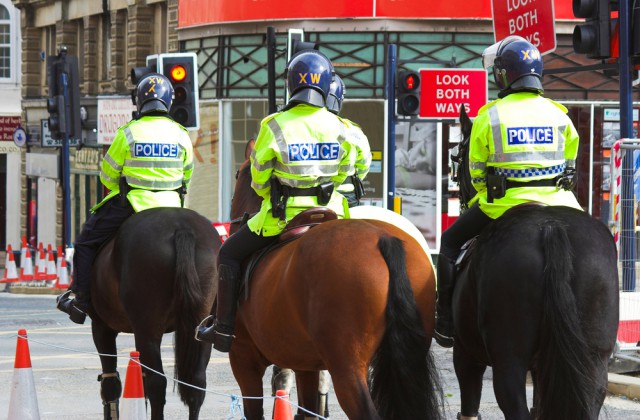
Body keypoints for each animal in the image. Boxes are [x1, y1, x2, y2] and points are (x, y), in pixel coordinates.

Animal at [89, 208, 220, 420]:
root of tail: (182, 227)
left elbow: (111, 382)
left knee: (157, 383)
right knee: (197, 382)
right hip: (202, 328)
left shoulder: (101, 327)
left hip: (147, 330)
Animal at [222, 158, 442, 420]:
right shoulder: (304, 364)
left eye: (238, 174)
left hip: (346, 367)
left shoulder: (243, 357)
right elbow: (307, 407)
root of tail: (383, 238)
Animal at [450, 106, 620, 418]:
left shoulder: (466, 353)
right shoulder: (544, 367)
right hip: (592, 359)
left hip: (508, 358)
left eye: (457, 158)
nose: (462, 202)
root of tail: (551, 227)